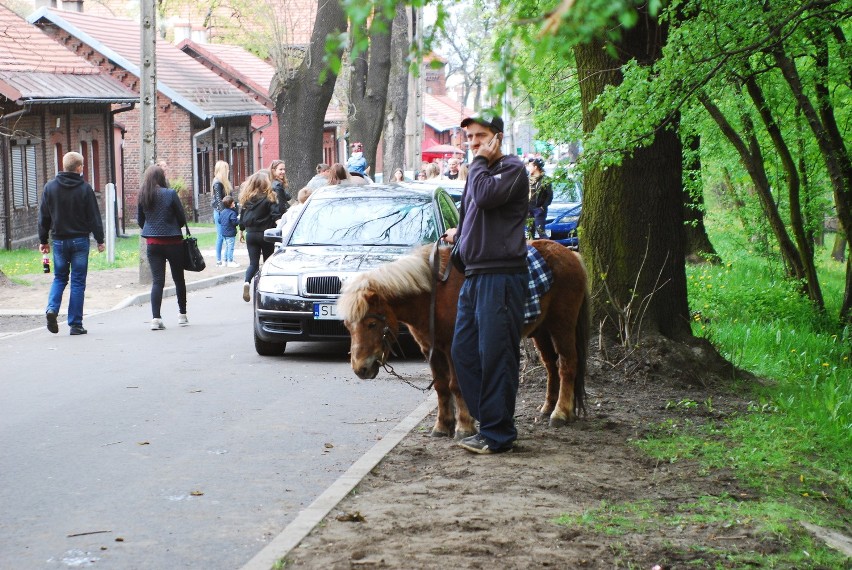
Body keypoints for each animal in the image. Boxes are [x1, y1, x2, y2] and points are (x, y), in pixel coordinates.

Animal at [336, 237, 588, 438]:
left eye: (371, 324)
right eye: (347, 326)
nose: (360, 369)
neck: (433, 295)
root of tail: (572, 255)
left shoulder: (452, 347)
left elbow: (456, 385)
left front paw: (464, 427)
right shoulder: (430, 348)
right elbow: (441, 386)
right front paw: (441, 426)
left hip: (562, 326)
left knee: (567, 365)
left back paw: (560, 413)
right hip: (542, 331)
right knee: (551, 366)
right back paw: (548, 408)